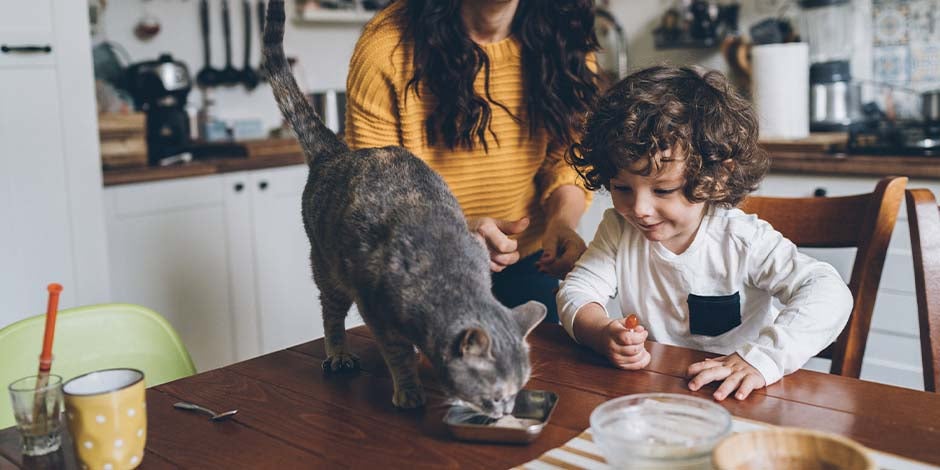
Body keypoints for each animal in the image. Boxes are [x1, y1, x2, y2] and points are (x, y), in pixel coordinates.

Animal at [262, 0, 544, 418]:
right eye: (495, 393)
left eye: (519, 388)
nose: (505, 412)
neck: (449, 276)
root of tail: (337, 151)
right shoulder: (375, 308)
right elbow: (396, 353)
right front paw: (409, 390)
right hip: (327, 267)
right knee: (330, 312)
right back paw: (339, 353)